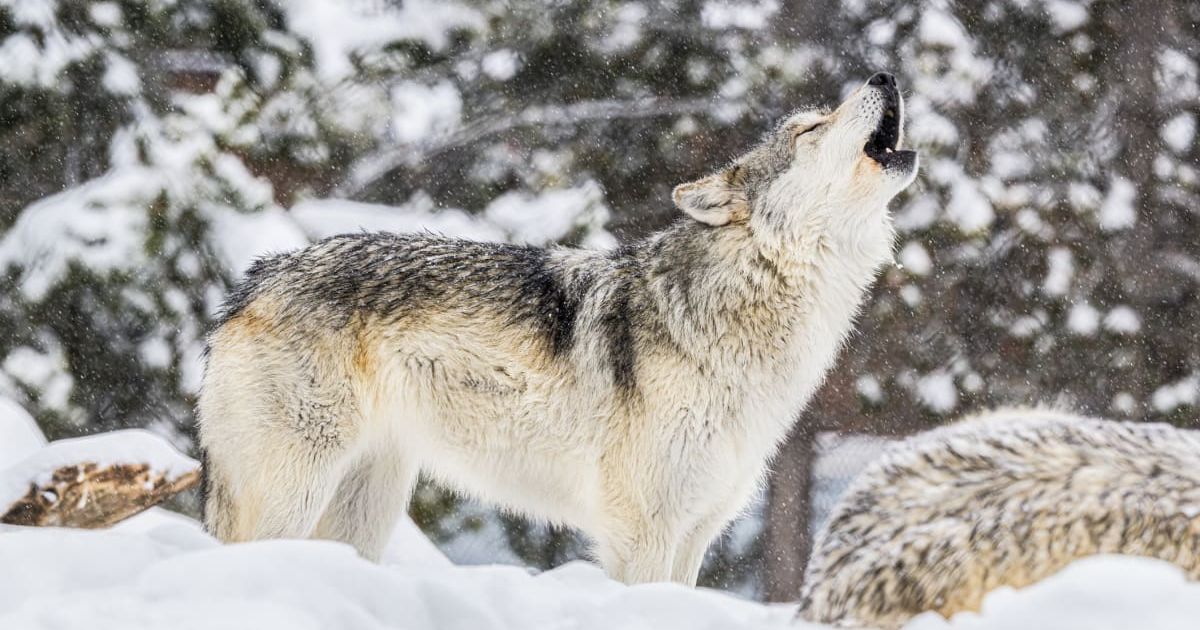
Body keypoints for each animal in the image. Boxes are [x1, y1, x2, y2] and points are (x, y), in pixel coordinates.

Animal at [198, 72, 917, 585]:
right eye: (811, 128)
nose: (885, 75)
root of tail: (254, 278)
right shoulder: (645, 531)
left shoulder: (696, 531)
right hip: (293, 493)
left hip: (363, 509)